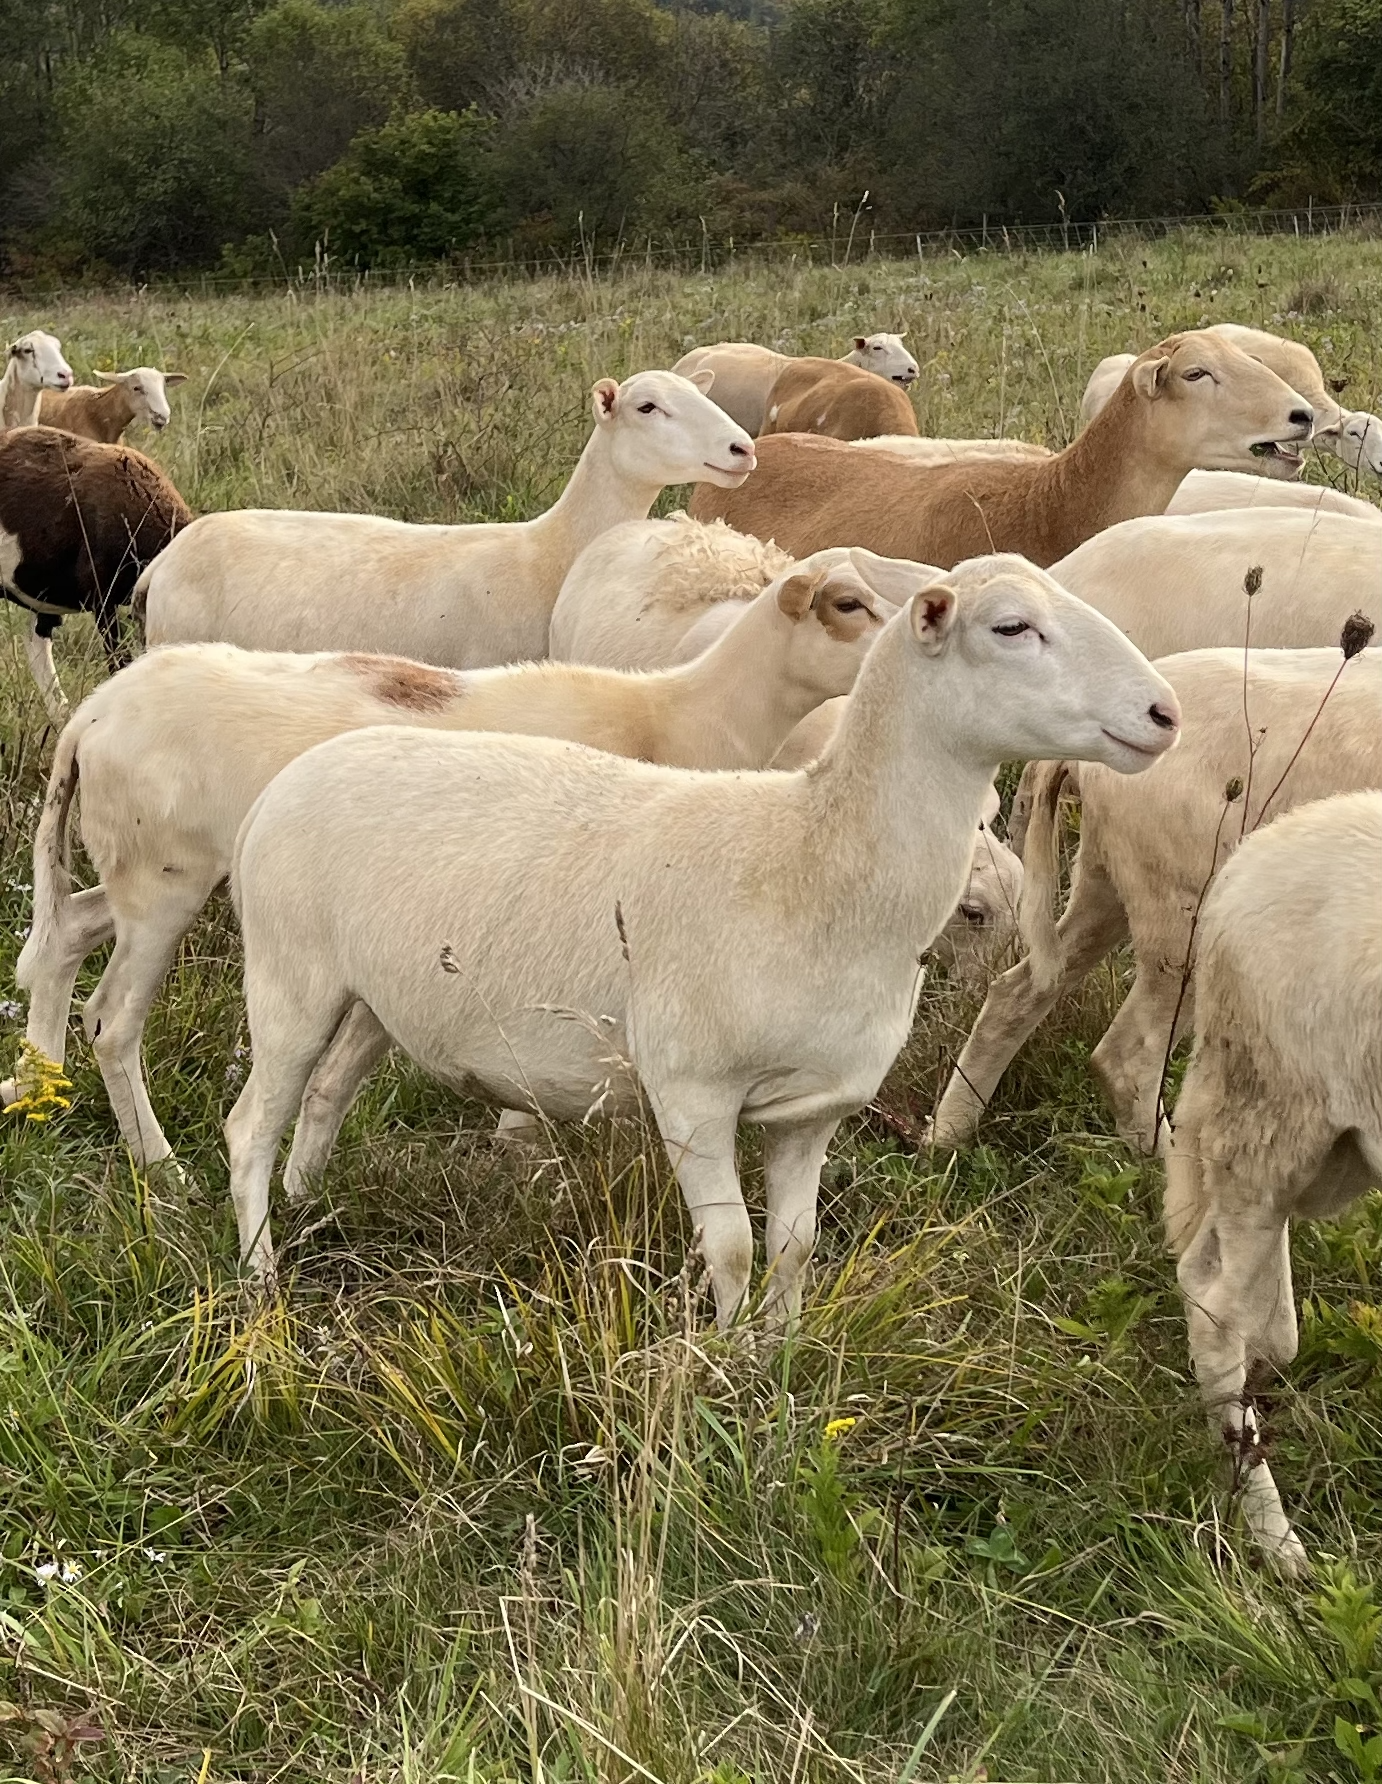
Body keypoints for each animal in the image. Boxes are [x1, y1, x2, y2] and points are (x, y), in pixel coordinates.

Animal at [4, 548, 926, 1165]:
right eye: (847, 604)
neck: (681, 714)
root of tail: (92, 714)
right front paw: (523, 1143)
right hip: (163, 879)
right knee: (112, 1020)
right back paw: (155, 1161)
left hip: (140, 870)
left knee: (61, 936)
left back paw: (39, 1088)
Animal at [221, 557, 1179, 1302]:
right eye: (1011, 627)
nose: (1165, 714)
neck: (812, 857)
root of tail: (285, 783)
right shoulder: (691, 1092)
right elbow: (734, 1250)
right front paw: (722, 1377)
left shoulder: (814, 1110)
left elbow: (793, 1251)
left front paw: (778, 1367)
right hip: (288, 977)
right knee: (250, 1125)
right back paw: (261, 1275)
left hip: (378, 995)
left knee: (326, 1091)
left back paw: (306, 1205)